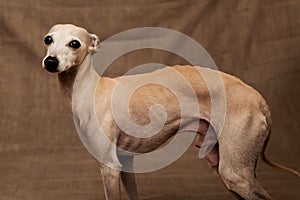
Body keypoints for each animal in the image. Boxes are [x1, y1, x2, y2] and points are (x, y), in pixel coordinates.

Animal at [42, 24, 300, 199]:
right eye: (48, 39)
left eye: (75, 43)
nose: (50, 61)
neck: (89, 89)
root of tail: (258, 98)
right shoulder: (125, 163)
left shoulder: (109, 167)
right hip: (223, 163)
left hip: (235, 172)